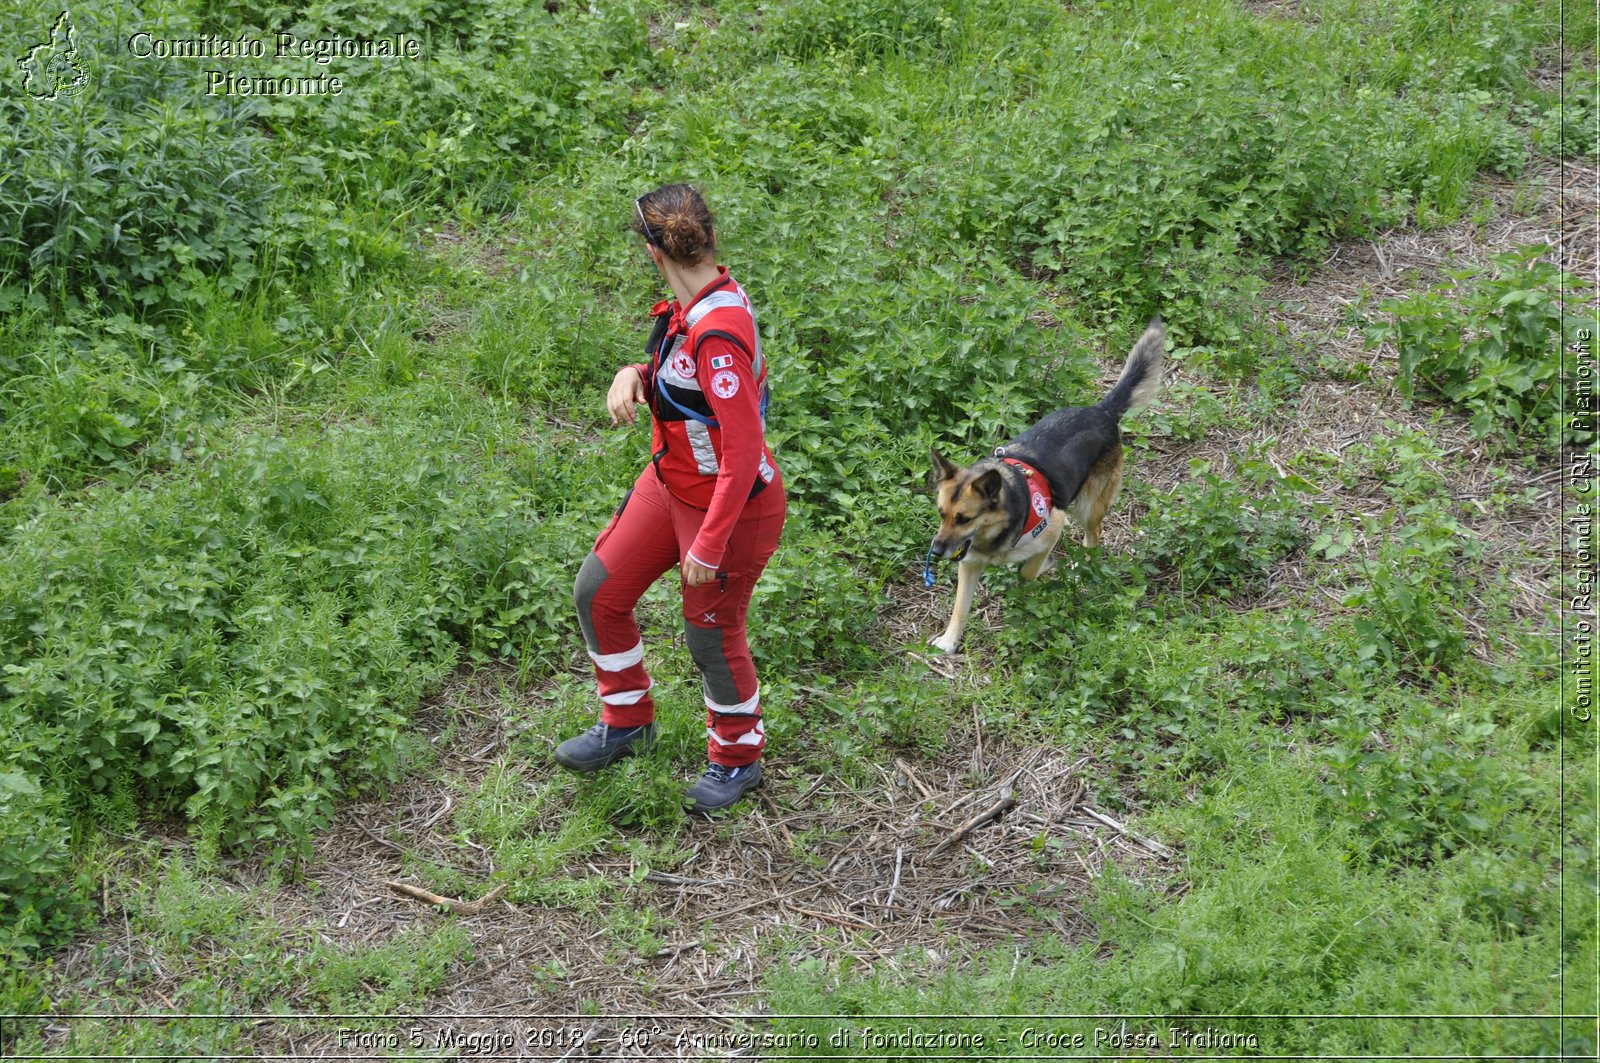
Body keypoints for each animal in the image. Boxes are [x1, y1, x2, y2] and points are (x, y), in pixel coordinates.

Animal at [928, 315, 1164, 653]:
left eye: (964, 519)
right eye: (941, 513)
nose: (934, 552)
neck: (994, 530)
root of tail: (1101, 411)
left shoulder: (1054, 523)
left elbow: (1028, 571)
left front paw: (1042, 569)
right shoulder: (969, 563)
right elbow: (960, 608)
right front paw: (949, 641)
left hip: (1087, 508)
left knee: (1095, 536)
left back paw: (1080, 569)